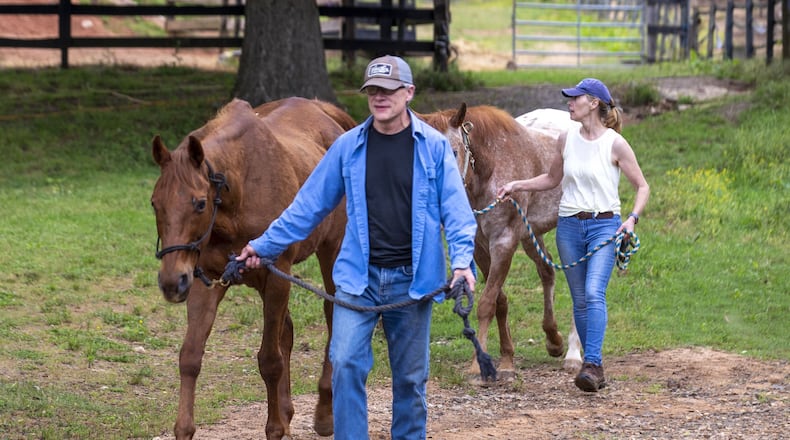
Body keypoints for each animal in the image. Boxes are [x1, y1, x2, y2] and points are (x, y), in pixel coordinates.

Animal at [150, 97, 356, 439]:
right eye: (155, 203)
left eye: (199, 203)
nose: (171, 282)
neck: (238, 192)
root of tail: (324, 111)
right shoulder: (205, 282)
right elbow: (190, 356)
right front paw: (184, 428)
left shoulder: (275, 279)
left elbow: (270, 361)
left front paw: (275, 428)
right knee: (287, 330)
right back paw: (287, 410)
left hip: (332, 249)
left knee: (331, 314)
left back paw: (325, 411)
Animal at [418, 104, 582, 380]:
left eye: (453, 152)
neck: (490, 171)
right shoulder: (480, 247)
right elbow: (499, 301)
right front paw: (506, 360)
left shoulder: (503, 242)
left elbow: (486, 303)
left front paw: (478, 365)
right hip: (530, 235)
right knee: (547, 272)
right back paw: (554, 341)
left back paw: (573, 355)